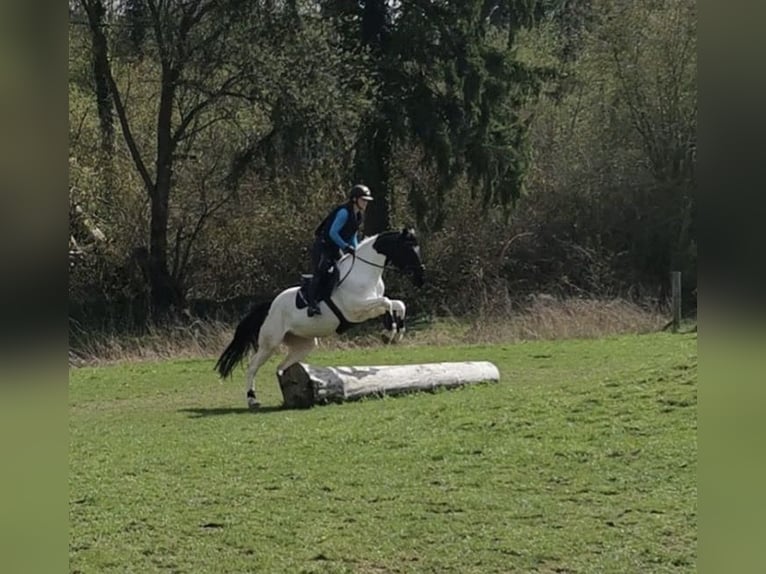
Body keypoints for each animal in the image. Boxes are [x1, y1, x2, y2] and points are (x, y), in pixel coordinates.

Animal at [215, 228, 425, 408]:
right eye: (408, 249)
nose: (420, 278)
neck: (365, 273)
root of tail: (269, 306)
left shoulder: (368, 308)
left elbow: (397, 304)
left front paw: (397, 333)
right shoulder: (355, 309)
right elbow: (387, 302)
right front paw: (388, 333)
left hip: (304, 344)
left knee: (280, 367)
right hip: (270, 343)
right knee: (252, 367)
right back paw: (252, 400)